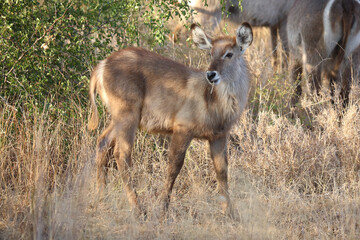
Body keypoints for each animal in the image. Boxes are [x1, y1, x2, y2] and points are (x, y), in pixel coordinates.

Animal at [88, 23, 253, 217]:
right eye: (211, 53)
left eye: (229, 54)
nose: (211, 74)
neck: (212, 100)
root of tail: (102, 65)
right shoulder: (182, 129)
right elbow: (174, 167)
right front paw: (162, 207)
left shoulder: (219, 136)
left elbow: (222, 171)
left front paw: (230, 213)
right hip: (127, 115)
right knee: (122, 155)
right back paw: (138, 209)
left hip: (119, 119)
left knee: (102, 143)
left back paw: (101, 200)